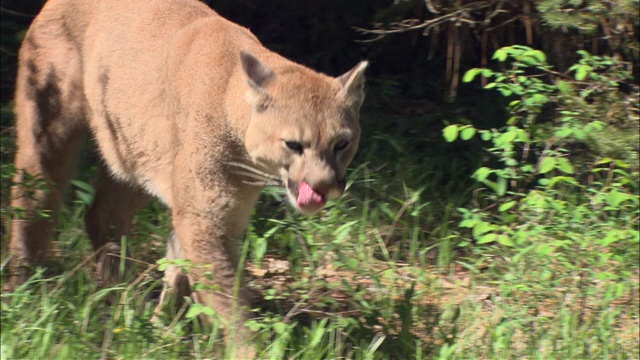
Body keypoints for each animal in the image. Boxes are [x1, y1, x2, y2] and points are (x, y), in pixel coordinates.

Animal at [7, 0, 368, 356]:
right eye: (293, 145)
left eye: (342, 144)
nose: (324, 186)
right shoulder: (204, 217)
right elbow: (227, 295)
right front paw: (249, 349)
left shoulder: (210, 211)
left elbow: (180, 265)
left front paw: (164, 326)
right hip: (48, 124)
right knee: (32, 201)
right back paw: (24, 290)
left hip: (132, 152)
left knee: (101, 217)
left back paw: (122, 296)